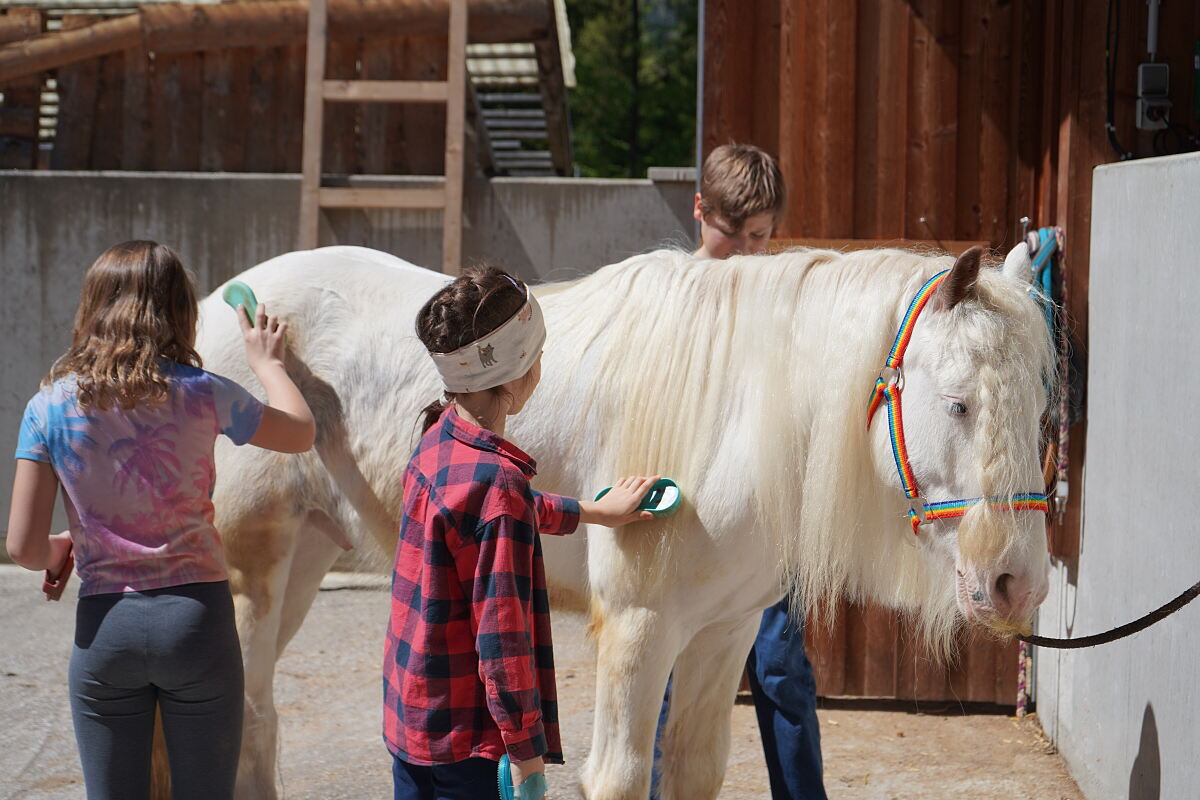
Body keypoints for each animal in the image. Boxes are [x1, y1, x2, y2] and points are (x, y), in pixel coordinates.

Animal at [194, 244, 1051, 800]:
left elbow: (694, 769)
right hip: (253, 573)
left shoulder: (722, 632)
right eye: (958, 404)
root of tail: (216, 309)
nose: (1020, 584)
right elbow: (618, 777)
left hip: (306, 561)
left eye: (1043, 409)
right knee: (248, 715)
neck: (733, 416)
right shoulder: (640, 630)